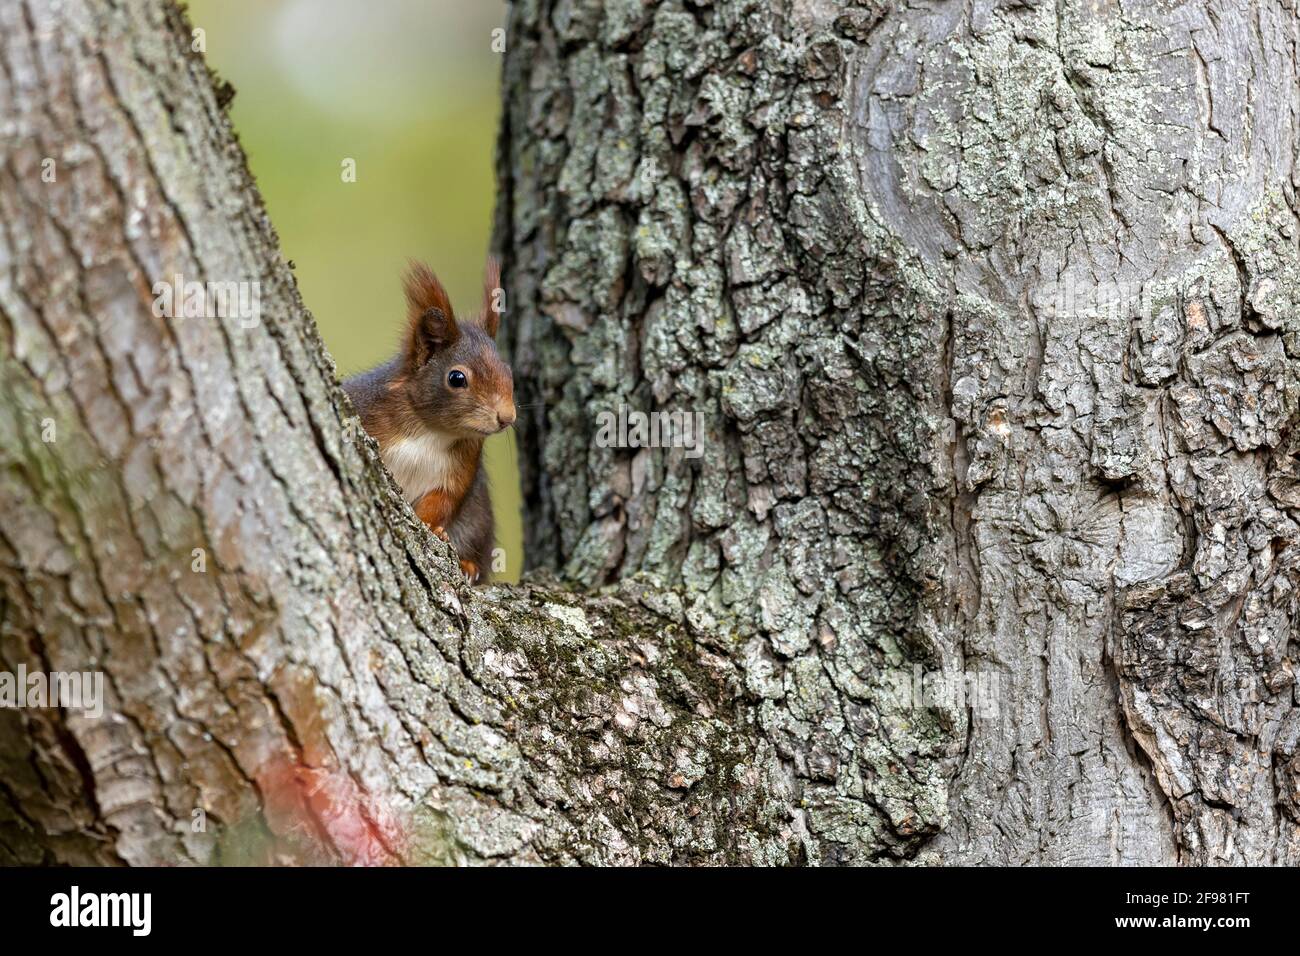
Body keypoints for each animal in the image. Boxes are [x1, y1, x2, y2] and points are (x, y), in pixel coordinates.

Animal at [345, 256, 517, 582]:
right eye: (456, 378)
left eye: (509, 371)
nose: (507, 417)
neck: (429, 430)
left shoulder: (463, 463)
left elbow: (443, 500)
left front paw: (432, 528)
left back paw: (469, 566)